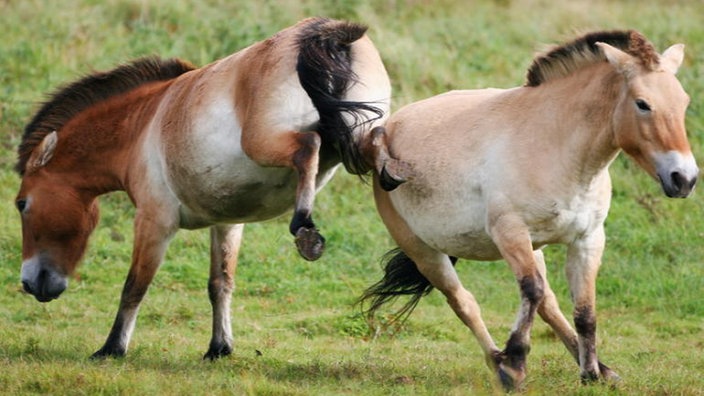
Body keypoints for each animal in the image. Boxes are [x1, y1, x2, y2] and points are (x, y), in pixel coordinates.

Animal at [16, 17, 390, 358]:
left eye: (21, 203)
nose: (30, 282)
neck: (141, 123)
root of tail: (327, 31)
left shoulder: (154, 221)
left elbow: (134, 286)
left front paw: (112, 348)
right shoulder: (227, 223)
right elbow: (220, 284)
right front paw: (219, 347)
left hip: (266, 143)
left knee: (308, 146)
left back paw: (305, 227)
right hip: (360, 143)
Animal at [360, 31, 696, 390]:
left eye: (684, 102)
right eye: (643, 104)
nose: (685, 178)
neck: (556, 144)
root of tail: (386, 130)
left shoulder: (588, 239)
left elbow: (584, 311)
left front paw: (592, 374)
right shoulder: (510, 233)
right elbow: (531, 292)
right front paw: (516, 364)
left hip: (534, 249)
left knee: (548, 302)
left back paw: (598, 368)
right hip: (425, 252)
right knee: (465, 302)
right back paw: (498, 364)